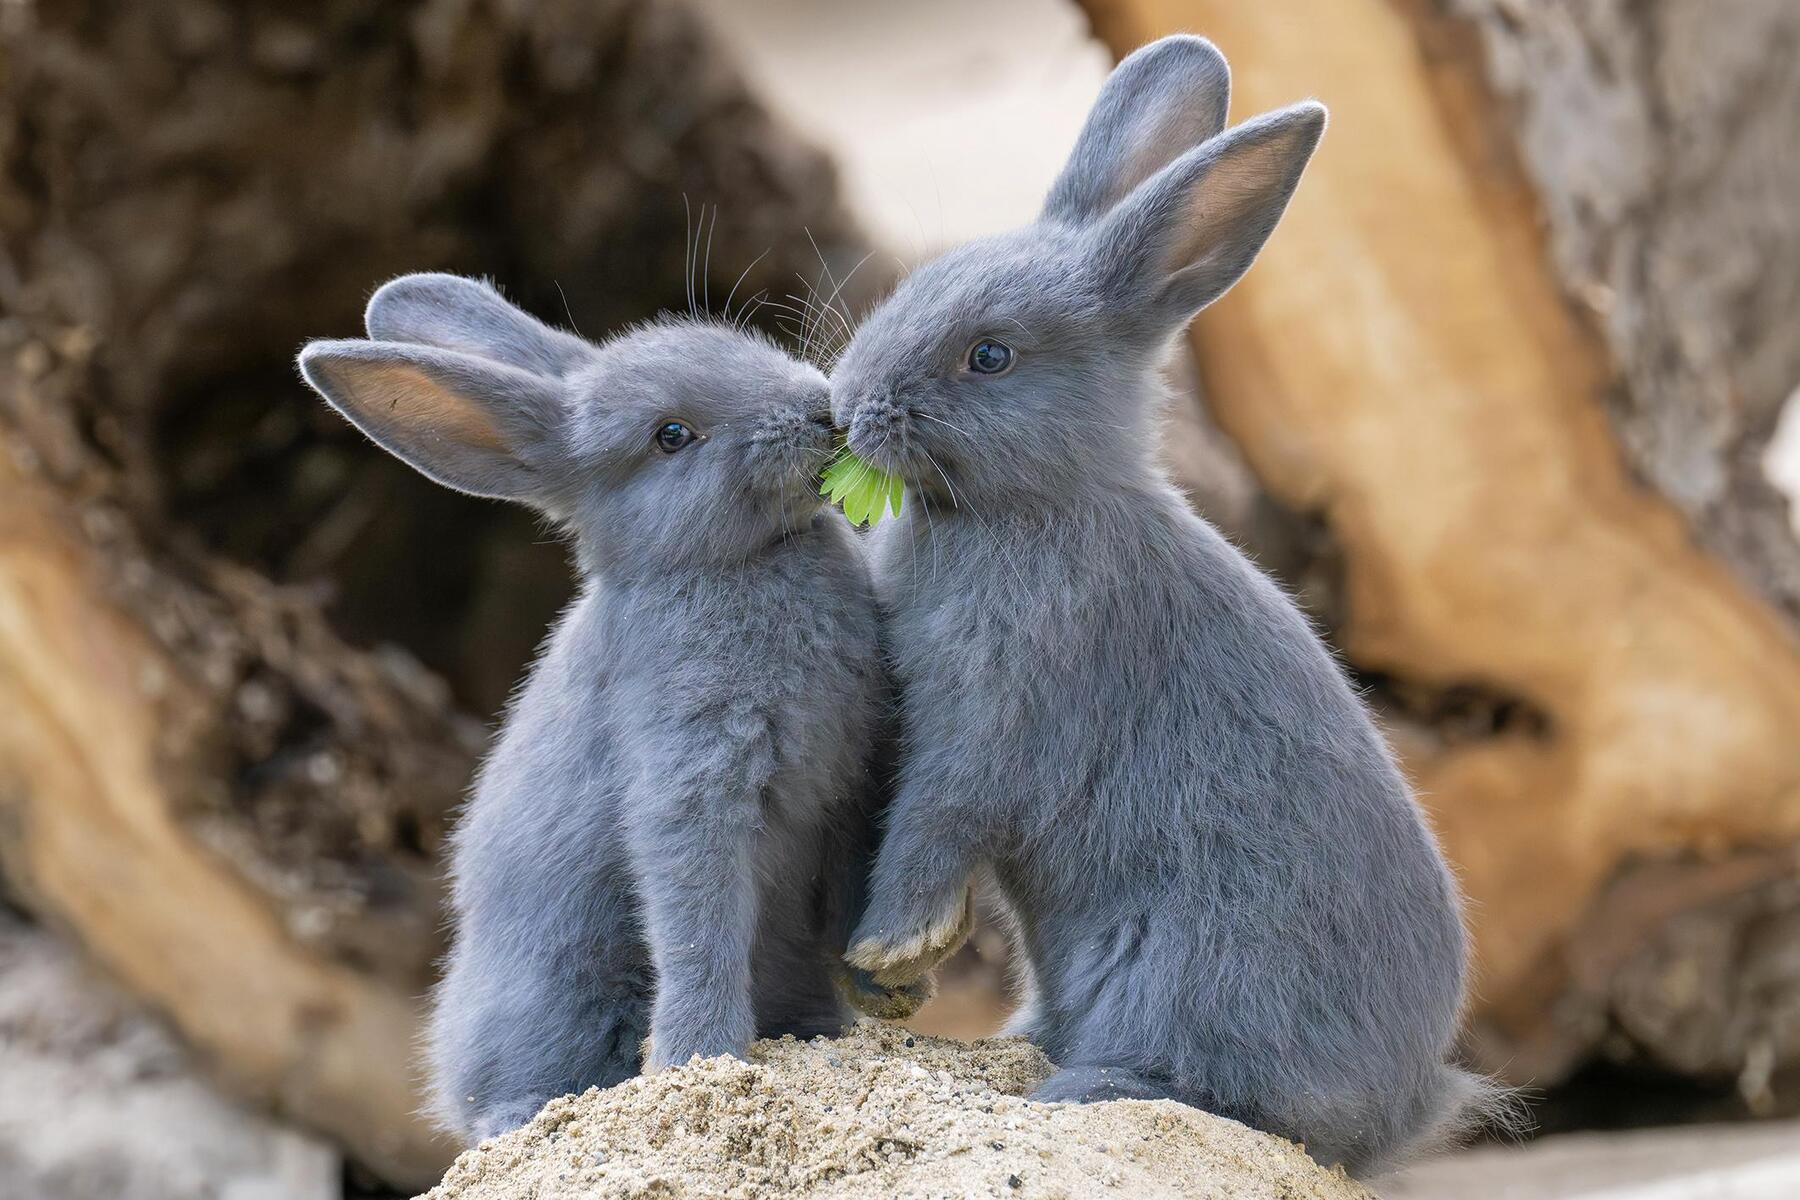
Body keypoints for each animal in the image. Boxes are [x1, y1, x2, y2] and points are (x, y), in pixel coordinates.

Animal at [297, 272, 906, 1144]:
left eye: (738, 342)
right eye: (671, 436)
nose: (820, 409)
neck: (731, 563)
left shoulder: (852, 779)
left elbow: (857, 883)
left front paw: (890, 989)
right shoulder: (690, 781)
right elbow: (696, 925)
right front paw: (702, 1065)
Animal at [829, 36, 1506, 1175]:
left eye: (991, 354)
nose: (846, 406)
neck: (1036, 505)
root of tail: (1407, 1106)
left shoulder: (993, 715)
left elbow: (938, 819)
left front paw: (888, 949)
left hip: (1180, 966)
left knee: (1211, 1092)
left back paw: (1073, 1091)